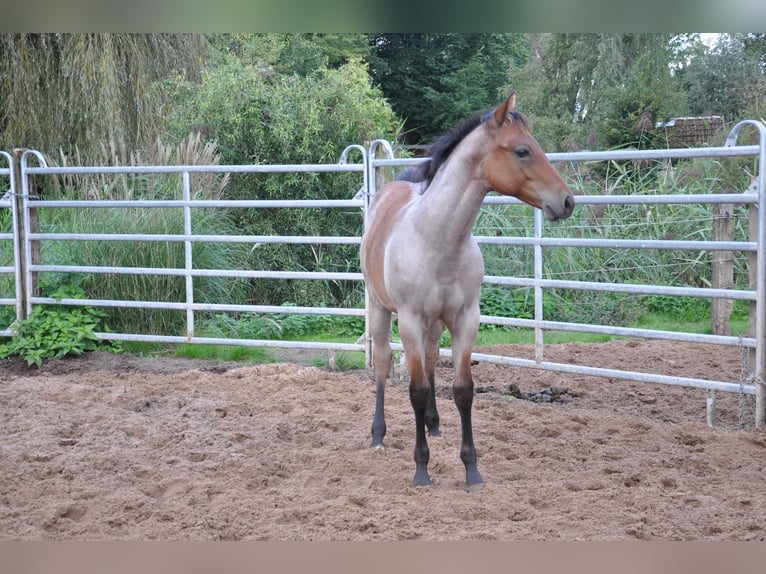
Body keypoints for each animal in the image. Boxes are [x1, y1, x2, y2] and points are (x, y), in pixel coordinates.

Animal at [360, 92, 575, 492]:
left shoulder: (465, 319)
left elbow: (462, 389)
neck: (438, 239)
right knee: (382, 364)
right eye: (522, 150)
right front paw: (422, 469)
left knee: (430, 360)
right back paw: (378, 435)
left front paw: (471, 469)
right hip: (380, 309)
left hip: (434, 324)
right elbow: (416, 390)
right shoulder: (410, 321)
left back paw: (434, 425)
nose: (567, 201)